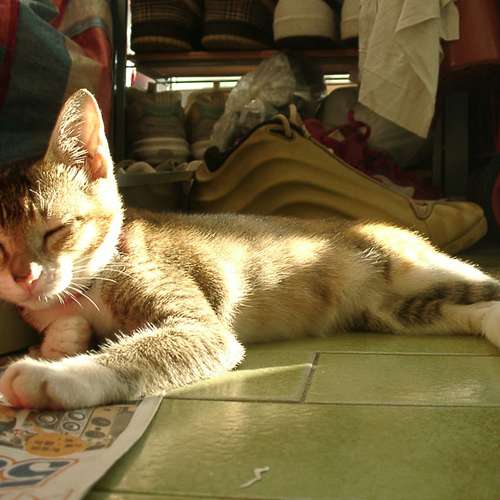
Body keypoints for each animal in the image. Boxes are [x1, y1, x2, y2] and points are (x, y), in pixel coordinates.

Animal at [0, 88, 499, 410]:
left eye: (57, 229)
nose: (25, 276)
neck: (92, 280)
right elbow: (64, 326)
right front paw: (61, 341)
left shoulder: (200, 323)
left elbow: (151, 348)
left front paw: (53, 374)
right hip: (389, 313)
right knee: (456, 308)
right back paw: (491, 323)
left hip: (418, 267)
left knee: (482, 284)